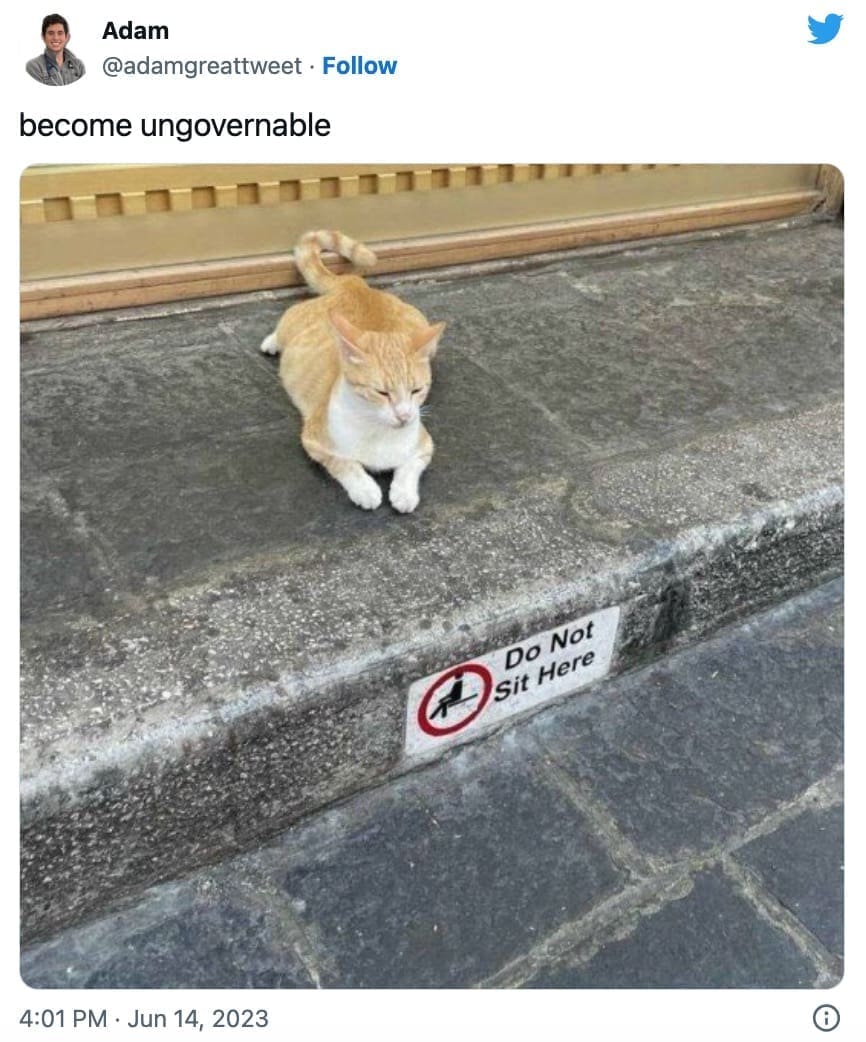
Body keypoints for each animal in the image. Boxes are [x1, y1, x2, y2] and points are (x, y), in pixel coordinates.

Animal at [260, 230, 445, 513]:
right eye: (381, 393)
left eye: (417, 390)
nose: (404, 415)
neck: (377, 429)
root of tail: (354, 283)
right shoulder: (314, 442)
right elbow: (347, 464)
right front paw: (365, 489)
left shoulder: (424, 446)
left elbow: (409, 467)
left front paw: (404, 493)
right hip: (293, 321)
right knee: (282, 327)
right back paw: (271, 342)